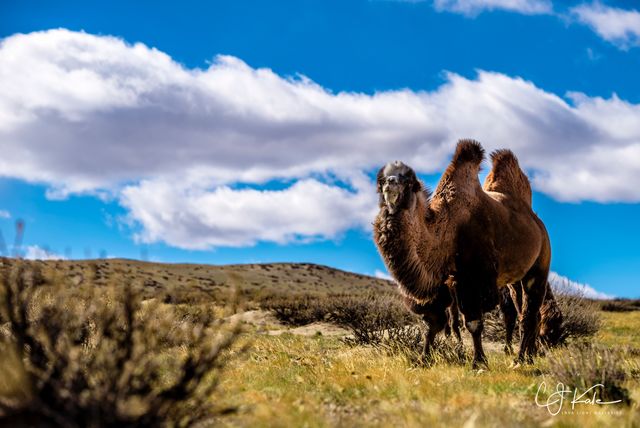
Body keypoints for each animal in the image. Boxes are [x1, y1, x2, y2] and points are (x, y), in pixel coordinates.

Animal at [373, 139, 553, 368]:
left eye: (409, 180)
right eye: (381, 179)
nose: (390, 182)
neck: (448, 229)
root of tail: (538, 224)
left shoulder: (473, 279)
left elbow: (473, 323)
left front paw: (479, 362)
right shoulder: (444, 282)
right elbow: (433, 323)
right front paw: (423, 359)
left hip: (539, 267)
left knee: (529, 314)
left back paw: (520, 359)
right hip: (514, 279)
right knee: (529, 314)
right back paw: (529, 357)